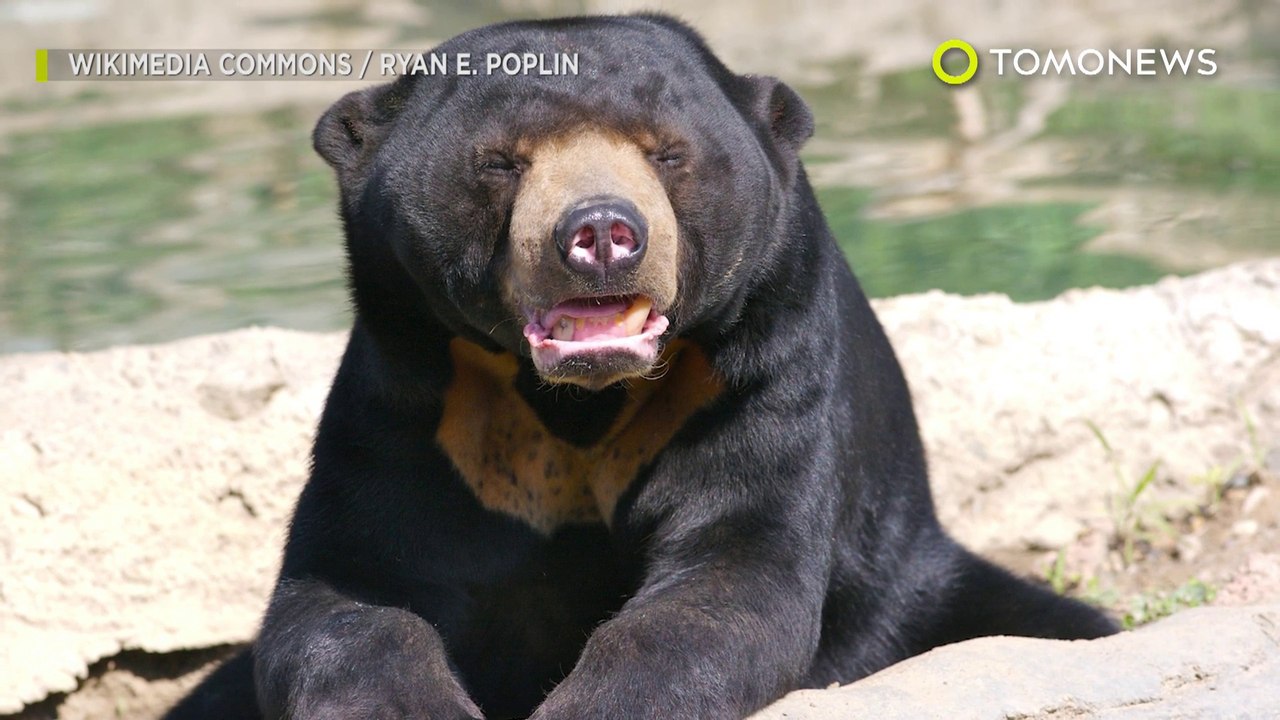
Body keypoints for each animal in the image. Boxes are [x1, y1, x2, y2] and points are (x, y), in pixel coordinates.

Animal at [166, 14, 1116, 720]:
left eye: (667, 152)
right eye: (500, 162)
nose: (599, 232)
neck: (580, 399)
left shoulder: (753, 379)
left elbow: (726, 576)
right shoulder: (417, 404)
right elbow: (352, 591)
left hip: (913, 582)